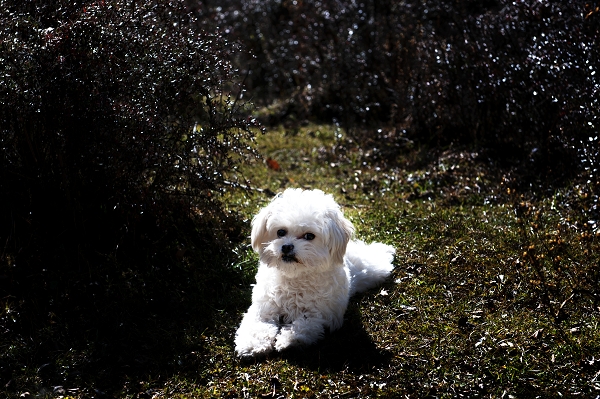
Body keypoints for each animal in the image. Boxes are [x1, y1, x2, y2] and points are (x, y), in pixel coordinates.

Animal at [233, 189, 394, 358]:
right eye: (281, 232)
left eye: (309, 236)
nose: (287, 247)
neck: (295, 277)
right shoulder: (263, 307)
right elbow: (257, 324)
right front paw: (252, 344)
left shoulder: (321, 314)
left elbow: (306, 324)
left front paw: (290, 340)